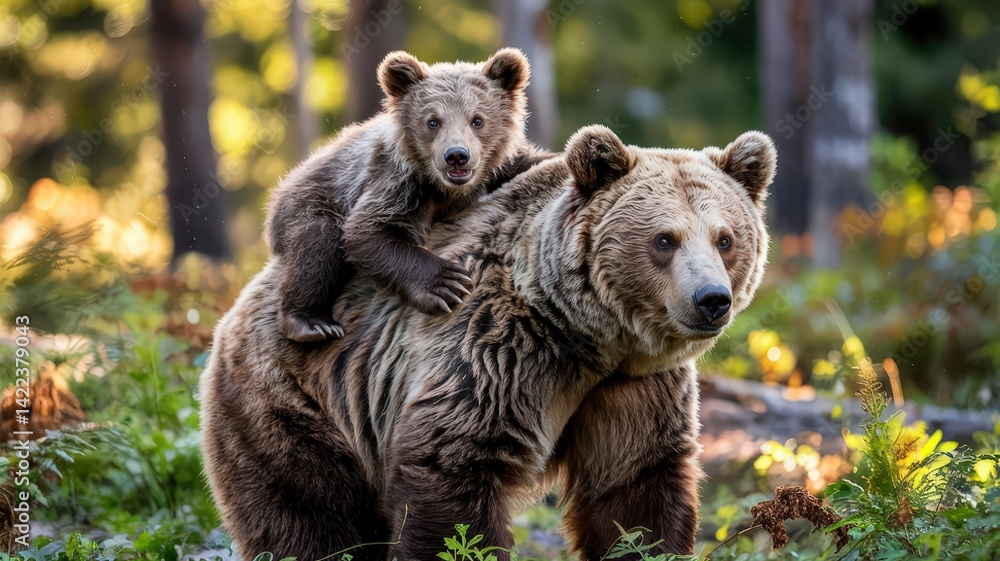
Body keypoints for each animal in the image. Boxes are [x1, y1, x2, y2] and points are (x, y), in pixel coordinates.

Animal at [200, 125, 776, 560]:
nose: (711, 300)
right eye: (664, 239)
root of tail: (238, 306)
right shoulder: (496, 350)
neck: (587, 339)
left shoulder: (632, 386)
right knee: (310, 519)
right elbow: (452, 468)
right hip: (299, 404)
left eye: (725, 239)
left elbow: (635, 487)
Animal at [265, 47, 546, 342]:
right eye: (433, 121)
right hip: (312, 198)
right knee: (317, 245)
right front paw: (446, 284)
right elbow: (367, 231)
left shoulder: (500, 168)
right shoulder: (396, 181)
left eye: (477, 119)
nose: (457, 155)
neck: (447, 190)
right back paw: (311, 322)